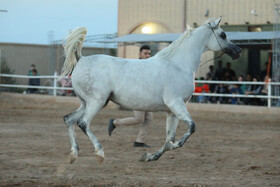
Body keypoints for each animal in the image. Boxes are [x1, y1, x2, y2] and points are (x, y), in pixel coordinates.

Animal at [61, 17, 241, 164]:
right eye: (223, 35)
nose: (238, 51)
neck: (179, 65)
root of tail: (81, 59)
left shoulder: (172, 111)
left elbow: (169, 140)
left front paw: (148, 156)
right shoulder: (176, 104)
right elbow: (190, 128)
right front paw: (155, 153)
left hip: (87, 103)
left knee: (68, 119)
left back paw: (73, 155)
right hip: (96, 102)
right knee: (83, 123)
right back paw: (100, 153)